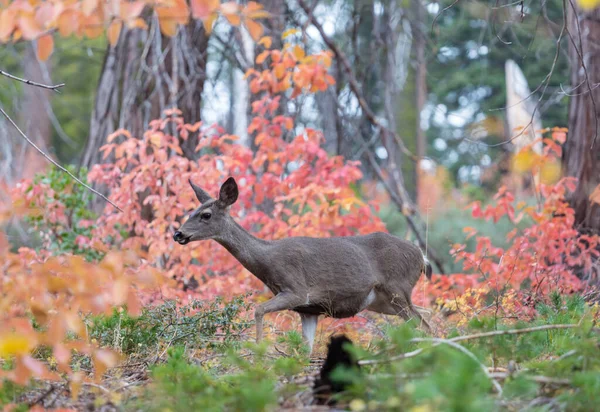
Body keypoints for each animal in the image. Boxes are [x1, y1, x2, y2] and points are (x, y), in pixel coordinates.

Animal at [172, 175, 432, 352]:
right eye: (192, 211)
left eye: (206, 215)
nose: (178, 234)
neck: (267, 261)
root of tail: (421, 256)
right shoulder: (308, 309)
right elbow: (306, 350)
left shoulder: (296, 290)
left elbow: (258, 309)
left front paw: (257, 352)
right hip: (383, 301)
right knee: (423, 320)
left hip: (397, 288)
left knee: (422, 325)